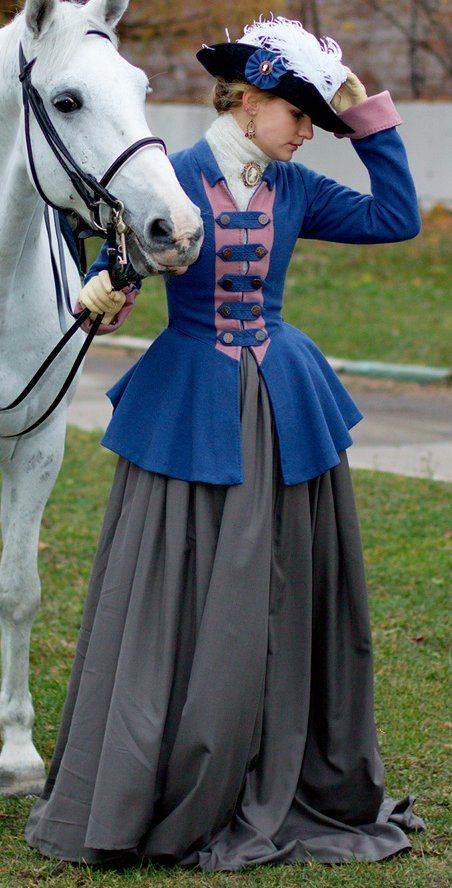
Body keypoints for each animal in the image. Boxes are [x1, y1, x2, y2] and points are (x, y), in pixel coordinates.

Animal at [0, 0, 202, 796]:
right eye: (66, 101)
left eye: (142, 88)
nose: (177, 229)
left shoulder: (37, 447)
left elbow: (17, 589)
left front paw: (16, 752)